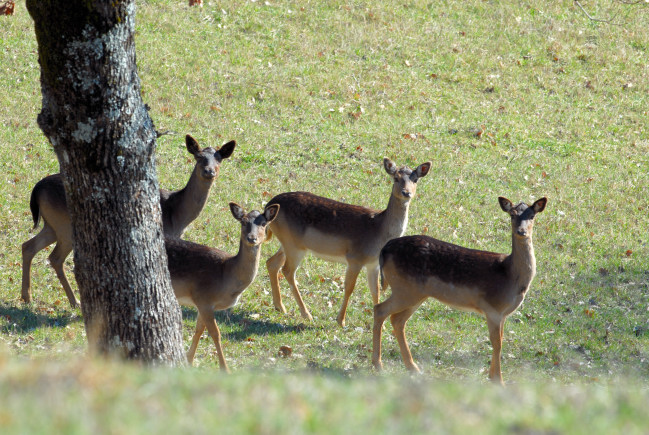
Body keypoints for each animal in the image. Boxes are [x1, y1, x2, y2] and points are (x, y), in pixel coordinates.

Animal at [21, 135, 237, 308]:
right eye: (199, 157)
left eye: (219, 158)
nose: (209, 171)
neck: (176, 214)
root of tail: (36, 189)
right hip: (65, 226)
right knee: (55, 257)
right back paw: (75, 301)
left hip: (51, 224)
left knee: (28, 246)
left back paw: (27, 297)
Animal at [165, 201, 278, 372]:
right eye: (243, 222)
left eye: (264, 223)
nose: (252, 238)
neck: (225, 277)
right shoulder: (203, 298)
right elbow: (215, 333)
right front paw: (225, 369)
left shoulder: (202, 303)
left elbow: (199, 330)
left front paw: (189, 361)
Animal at [264, 158, 430, 328]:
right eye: (396, 178)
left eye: (415, 179)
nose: (406, 193)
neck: (378, 231)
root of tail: (269, 205)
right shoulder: (354, 258)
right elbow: (349, 287)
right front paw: (341, 321)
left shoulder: (373, 264)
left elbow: (375, 290)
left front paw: (382, 325)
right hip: (294, 246)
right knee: (287, 271)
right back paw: (306, 314)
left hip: (287, 243)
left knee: (272, 262)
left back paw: (280, 307)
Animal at [370, 198, 548, 384]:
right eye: (512, 214)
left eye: (532, 215)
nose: (521, 231)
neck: (510, 276)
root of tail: (385, 249)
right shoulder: (492, 308)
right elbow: (497, 343)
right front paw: (499, 381)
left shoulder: (503, 313)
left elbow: (500, 339)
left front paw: (492, 377)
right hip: (404, 289)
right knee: (380, 309)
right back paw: (378, 364)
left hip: (415, 293)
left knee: (397, 320)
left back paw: (413, 368)